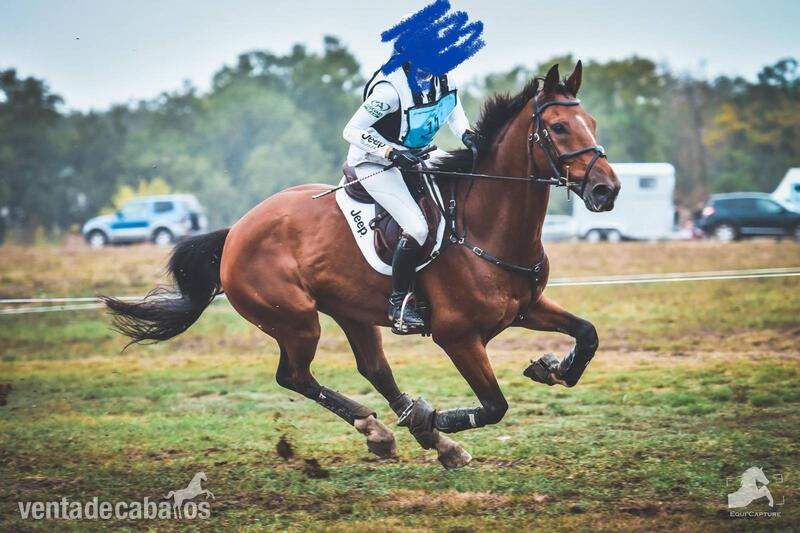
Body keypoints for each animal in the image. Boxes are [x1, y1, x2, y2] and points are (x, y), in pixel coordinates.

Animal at [104, 62, 620, 469]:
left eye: (593, 121)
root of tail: (235, 232)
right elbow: (494, 406)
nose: (607, 190)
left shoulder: (526, 307)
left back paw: (425, 438)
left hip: (350, 312)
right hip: (297, 321)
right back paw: (391, 430)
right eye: (559, 128)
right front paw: (433, 417)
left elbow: (588, 333)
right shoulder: (458, 336)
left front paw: (554, 367)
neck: (484, 225)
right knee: (294, 376)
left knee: (374, 370)